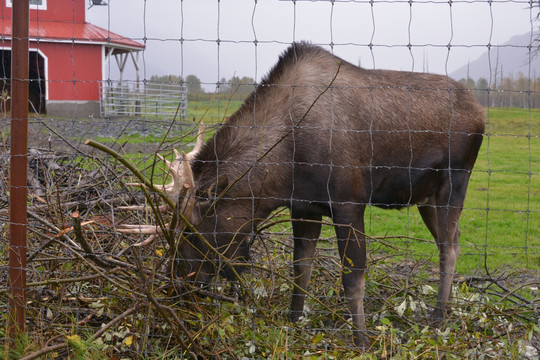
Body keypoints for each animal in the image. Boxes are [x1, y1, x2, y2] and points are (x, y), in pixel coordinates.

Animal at [125, 42, 486, 346]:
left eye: (191, 232)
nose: (177, 284)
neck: (282, 172)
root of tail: (480, 112)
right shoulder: (304, 207)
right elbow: (301, 268)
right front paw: (294, 320)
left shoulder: (348, 202)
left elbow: (353, 276)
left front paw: (361, 339)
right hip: (425, 196)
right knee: (451, 241)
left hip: (455, 181)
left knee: (449, 246)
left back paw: (439, 318)